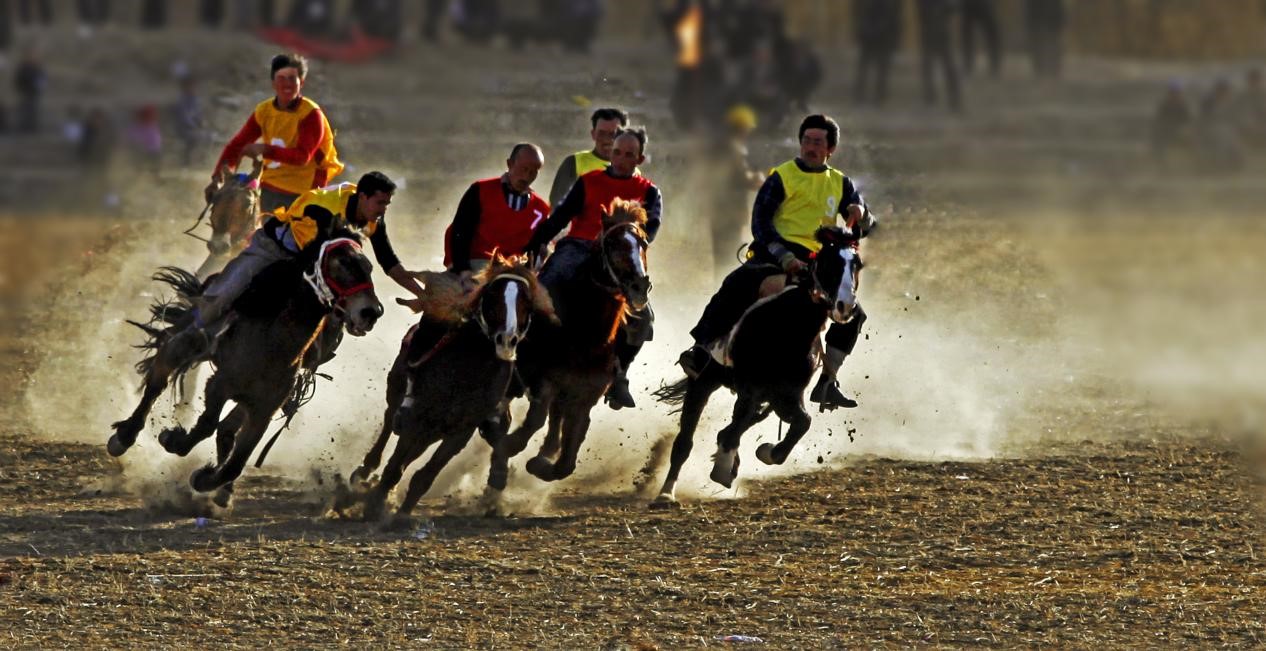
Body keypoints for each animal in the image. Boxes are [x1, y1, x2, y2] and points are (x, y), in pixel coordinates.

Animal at [109, 227, 382, 506]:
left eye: (369, 267)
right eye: (341, 263)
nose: (371, 312)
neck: (274, 344)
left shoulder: (264, 410)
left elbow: (235, 462)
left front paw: (204, 478)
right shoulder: (219, 385)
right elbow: (207, 424)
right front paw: (172, 439)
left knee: (226, 430)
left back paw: (223, 491)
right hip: (191, 337)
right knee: (160, 375)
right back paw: (123, 436)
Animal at [351, 255, 559, 514]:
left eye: (526, 302)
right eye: (492, 295)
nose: (506, 340)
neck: (466, 368)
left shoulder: (460, 431)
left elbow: (424, 477)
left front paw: (400, 514)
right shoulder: (418, 418)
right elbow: (394, 467)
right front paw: (374, 507)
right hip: (398, 394)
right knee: (390, 422)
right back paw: (364, 471)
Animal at [486, 195, 653, 493]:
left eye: (643, 242)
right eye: (612, 243)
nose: (638, 286)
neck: (584, 335)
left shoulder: (586, 394)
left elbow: (569, 453)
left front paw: (540, 464)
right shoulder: (542, 381)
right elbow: (533, 421)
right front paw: (505, 457)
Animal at [648, 225, 865, 504]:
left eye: (857, 264)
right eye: (829, 262)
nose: (845, 306)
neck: (787, 328)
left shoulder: (785, 395)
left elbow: (802, 422)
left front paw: (766, 452)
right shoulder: (745, 388)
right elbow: (721, 432)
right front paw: (719, 468)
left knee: (739, 424)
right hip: (708, 381)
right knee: (691, 438)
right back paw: (669, 490)